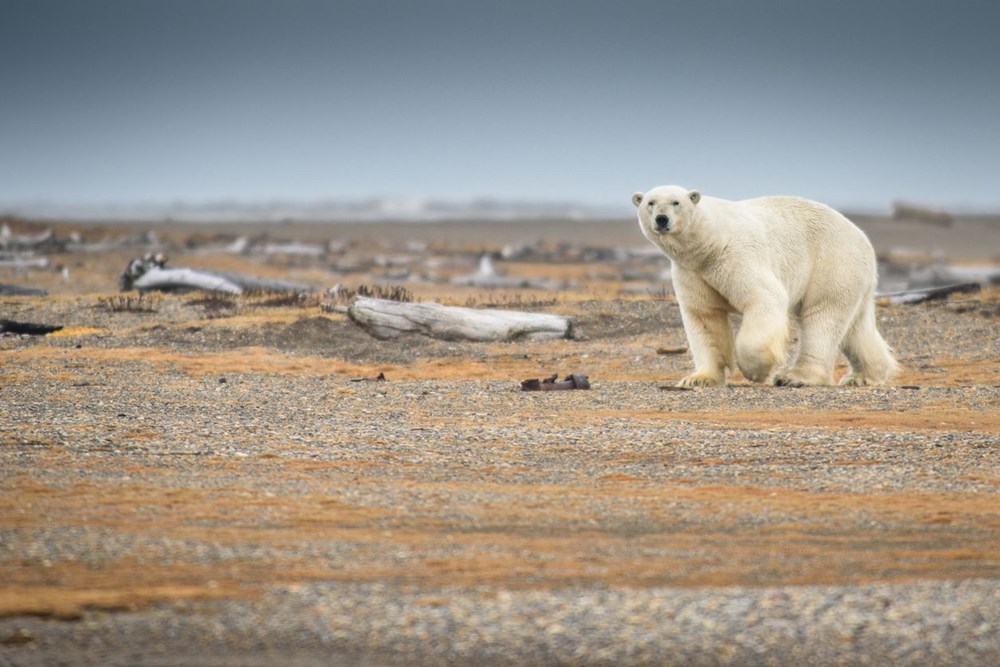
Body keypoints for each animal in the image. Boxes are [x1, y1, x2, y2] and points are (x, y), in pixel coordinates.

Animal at [632, 185, 900, 388]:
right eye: (650, 203)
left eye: (676, 202)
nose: (662, 219)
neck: (708, 244)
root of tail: (864, 240)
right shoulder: (692, 272)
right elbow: (704, 317)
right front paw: (698, 379)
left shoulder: (736, 256)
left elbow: (764, 297)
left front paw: (757, 371)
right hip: (852, 274)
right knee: (855, 327)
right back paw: (864, 376)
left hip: (832, 262)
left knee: (822, 316)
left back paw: (796, 376)